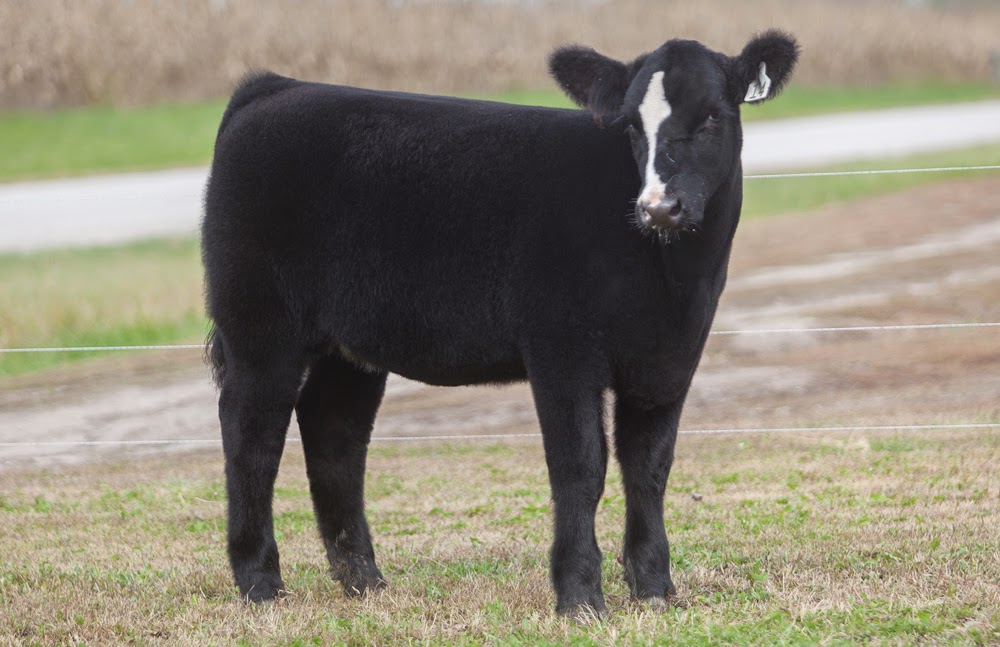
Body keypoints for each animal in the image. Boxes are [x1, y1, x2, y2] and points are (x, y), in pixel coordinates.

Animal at [201, 31, 798, 617]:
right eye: (631, 124)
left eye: (713, 116)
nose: (658, 208)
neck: (673, 281)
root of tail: (276, 88)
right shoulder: (561, 347)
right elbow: (580, 466)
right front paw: (579, 596)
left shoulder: (671, 355)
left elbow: (649, 466)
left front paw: (654, 588)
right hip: (260, 328)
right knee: (251, 434)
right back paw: (260, 583)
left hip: (348, 346)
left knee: (334, 433)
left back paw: (364, 581)